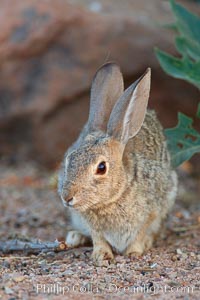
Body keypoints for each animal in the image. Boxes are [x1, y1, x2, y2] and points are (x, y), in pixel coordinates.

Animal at [57, 61, 177, 264]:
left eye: (101, 168)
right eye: (69, 159)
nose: (67, 197)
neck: (113, 198)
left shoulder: (151, 212)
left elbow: (140, 233)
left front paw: (134, 252)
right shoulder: (90, 222)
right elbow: (98, 236)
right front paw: (101, 255)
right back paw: (74, 237)